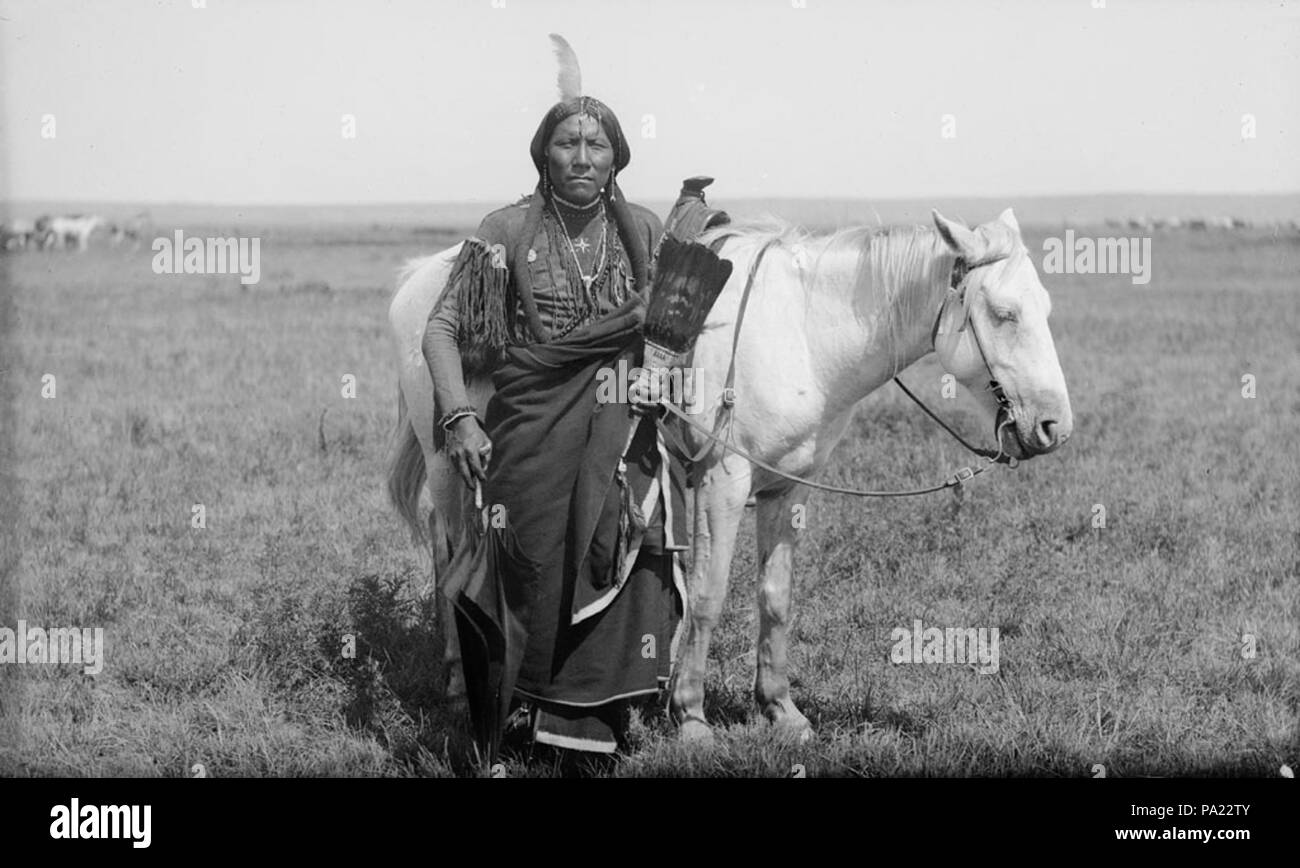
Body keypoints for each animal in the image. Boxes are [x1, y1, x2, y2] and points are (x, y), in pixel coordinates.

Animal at [387, 207, 1076, 732]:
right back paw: (462, 683)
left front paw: (780, 709)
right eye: (1004, 313)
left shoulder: (788, 489)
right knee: (453, 562)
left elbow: (775, 596)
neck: (804, 332)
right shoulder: (723, 482)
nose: (1054, 426)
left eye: (1046, 307)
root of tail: (422, 277)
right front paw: (689, 714)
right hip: (450, 463)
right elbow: (710, 594)